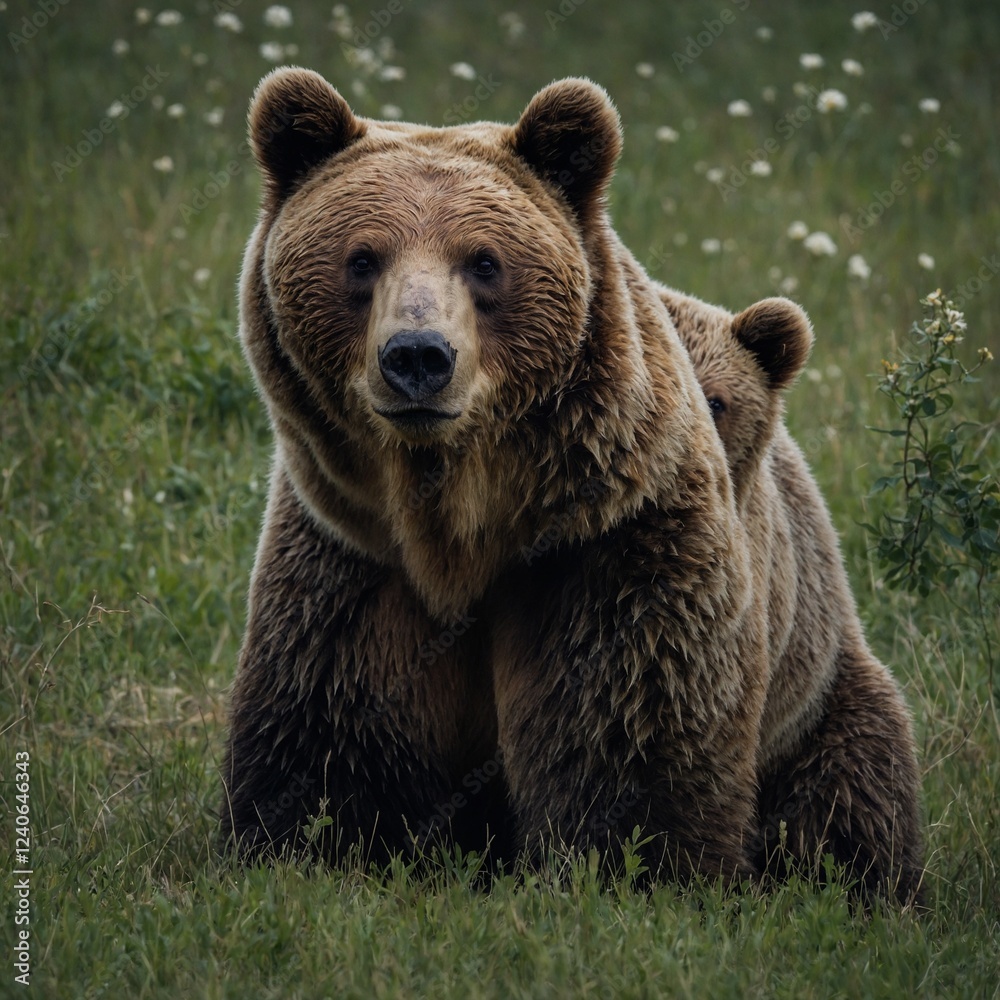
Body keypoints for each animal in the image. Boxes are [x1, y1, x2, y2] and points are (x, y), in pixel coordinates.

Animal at [219, 67, 770, 884]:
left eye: (483, 261)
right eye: (362, 258)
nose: (418, 357)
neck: (456, 525)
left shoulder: (611, 545)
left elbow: (628, 731)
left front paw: (638, 862)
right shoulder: (352, 564)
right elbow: (325, 733)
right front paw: (303, 841)